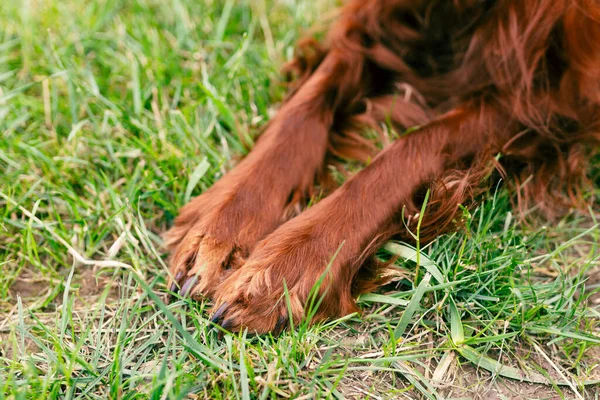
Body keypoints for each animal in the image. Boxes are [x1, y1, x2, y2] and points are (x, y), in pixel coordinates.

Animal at [164, 0, 600, 332]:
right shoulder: (370, 28)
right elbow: (303, 108)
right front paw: (222, 227)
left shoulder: (545, 101)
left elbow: (415, 146)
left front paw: (286, 270)